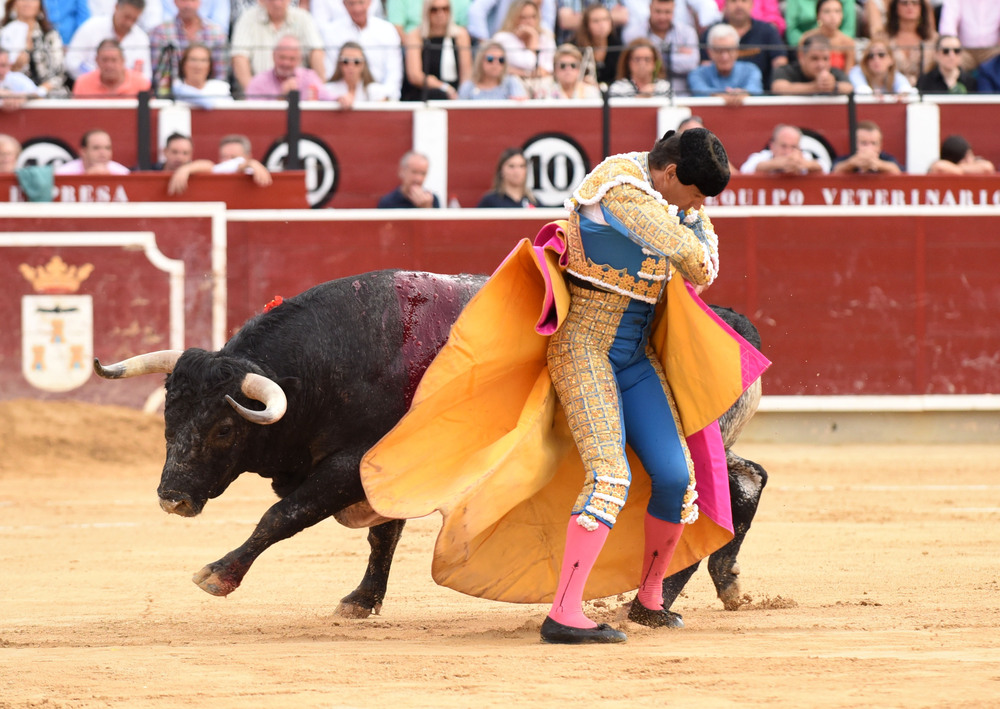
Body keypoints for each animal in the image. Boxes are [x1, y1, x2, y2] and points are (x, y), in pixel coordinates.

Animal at [95, 268, 764, 616]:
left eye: (225, 427)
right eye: (169, 416)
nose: (172, 498)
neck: (325, 364)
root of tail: (734, 323)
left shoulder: (352, 463)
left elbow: (283, 515)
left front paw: (218, 574)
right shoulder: (380, 475)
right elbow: (381, 536)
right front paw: (362, 601)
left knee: (716, 493)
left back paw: (658, 602)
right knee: (744, 481)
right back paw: (710, 587)